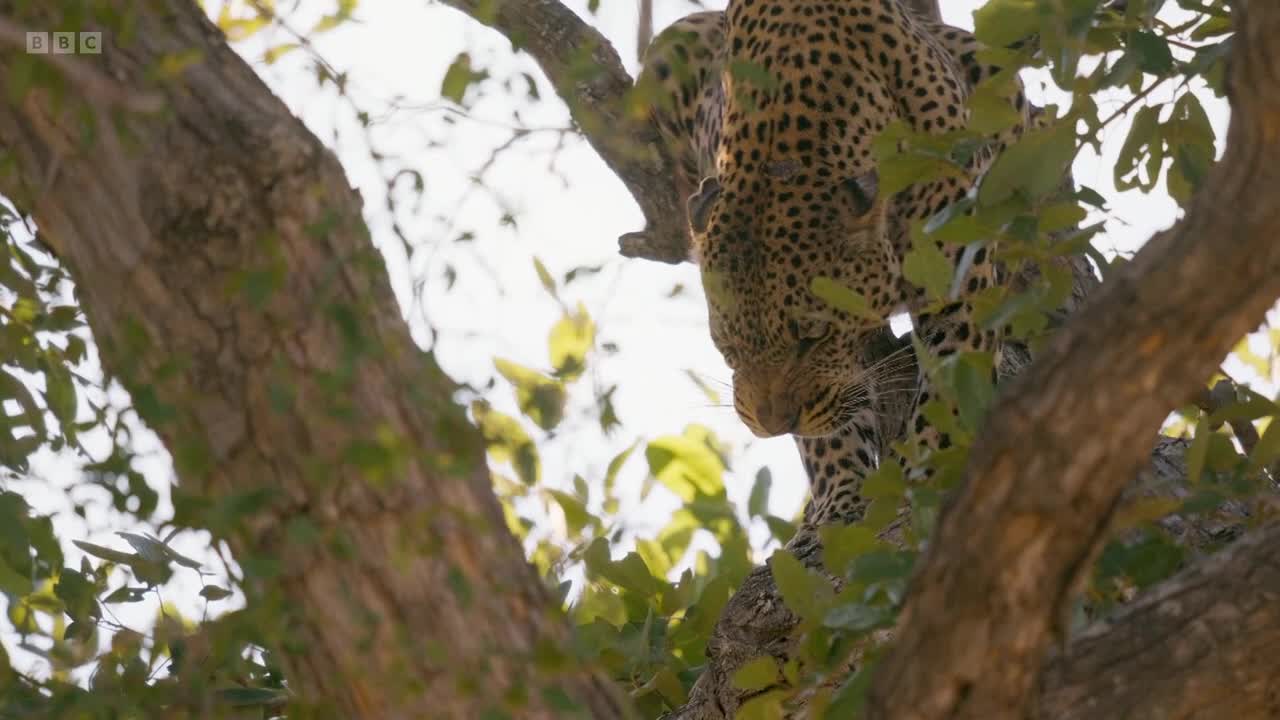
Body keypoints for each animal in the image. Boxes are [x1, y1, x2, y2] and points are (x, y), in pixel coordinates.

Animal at [637, 1, 1035, 526]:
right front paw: (837, 501)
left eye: (814, 336)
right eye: (728, 349)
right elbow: (825, 436)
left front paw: (922, 475)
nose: (772, 425)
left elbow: (948, 386)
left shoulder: (958, 285)